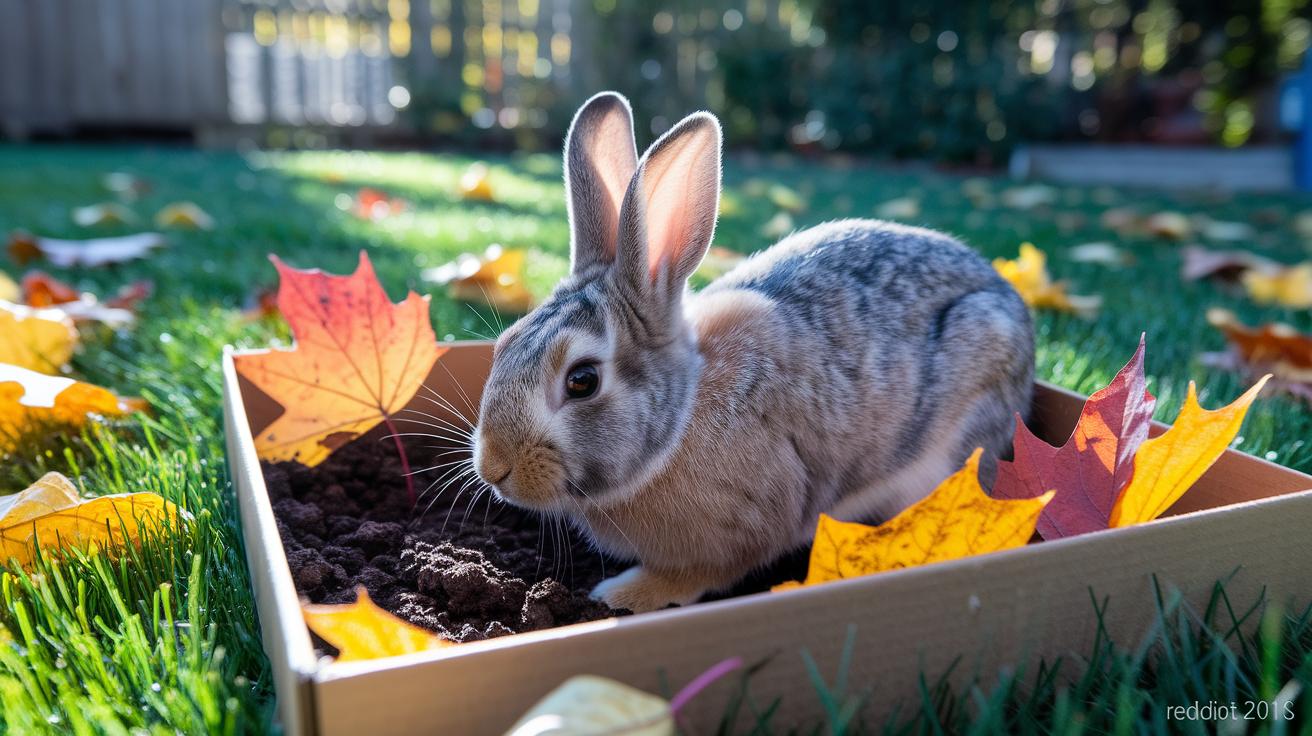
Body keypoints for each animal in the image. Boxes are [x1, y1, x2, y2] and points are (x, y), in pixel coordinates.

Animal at [471, 91, 1035, 613]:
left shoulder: (742, 530)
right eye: (504, 344)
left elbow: (697, 574)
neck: (681, 421)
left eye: (582, 380)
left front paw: (624, 594)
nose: (494, 468)